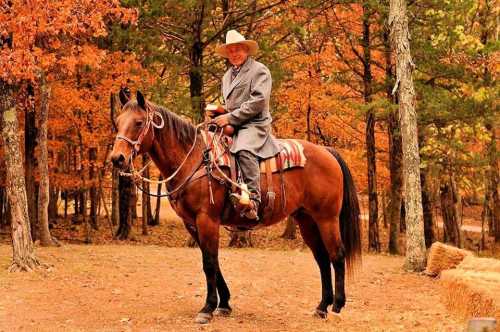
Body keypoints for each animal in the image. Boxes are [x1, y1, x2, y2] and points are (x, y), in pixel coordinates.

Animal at [109, 90, 362, 324]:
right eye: (117, 122)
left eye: (138, 122)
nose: (117, 158)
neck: (194, 160)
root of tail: (327, 151)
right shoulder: (191, 223)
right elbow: (212, 260)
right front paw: (224, 304)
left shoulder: (207, 219)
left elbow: (209, 262)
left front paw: (207, 308)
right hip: (306, 219)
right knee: (322, 258)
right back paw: (322, 306)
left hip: (327, 218)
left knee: (337, 254)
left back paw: (337, 306)